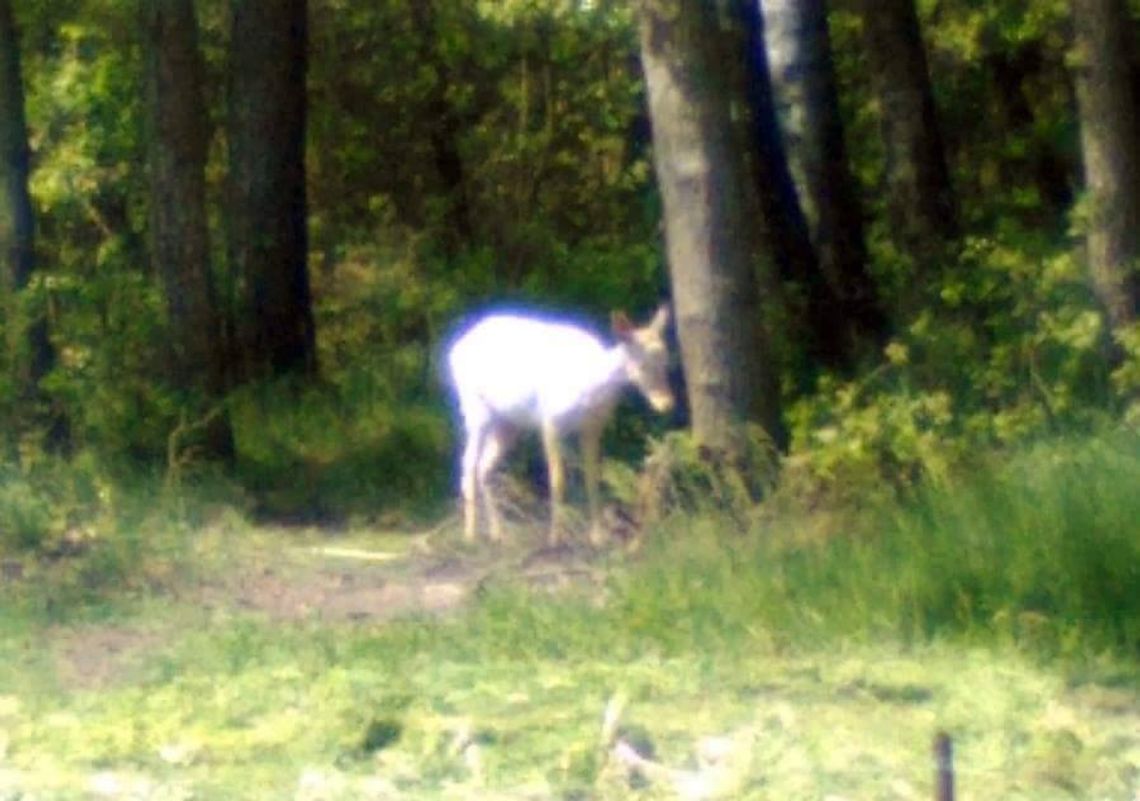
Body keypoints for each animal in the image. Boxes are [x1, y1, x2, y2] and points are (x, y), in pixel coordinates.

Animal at [446, 305, 674, 544]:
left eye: (666, 360)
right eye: (642, 365)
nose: (666, 404)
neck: (590, 386)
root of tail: (453, 351)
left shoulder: (592, 427)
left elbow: (592, 476)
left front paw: (598, 536)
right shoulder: (550, 421)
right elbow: (557, 479)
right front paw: (555, 538)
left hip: (508, 424)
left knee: (484, 466)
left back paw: (499, 534)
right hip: (474, 408)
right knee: (468, 463)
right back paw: (470, 535)